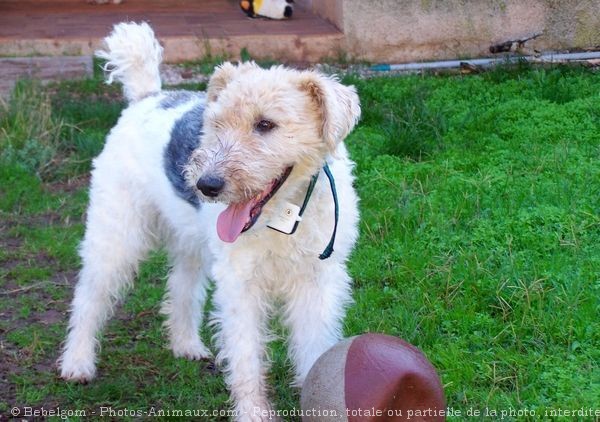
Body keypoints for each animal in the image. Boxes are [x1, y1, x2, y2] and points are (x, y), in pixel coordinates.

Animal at [59, 22, 360, 418]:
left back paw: (186, 344)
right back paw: (76, 363)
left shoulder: (317, 280)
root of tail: (147, 96)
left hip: (191, 241)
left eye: (266, 124)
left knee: (181, 288)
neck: (284, 215)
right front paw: (253, 413)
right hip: (116, 234)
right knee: (88, 297)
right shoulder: (240, 282)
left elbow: (314, 345)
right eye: (216, 124)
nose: (207, 185)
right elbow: (246, 356)